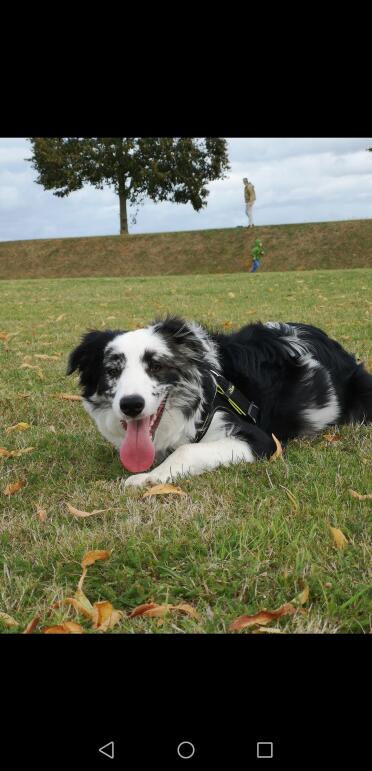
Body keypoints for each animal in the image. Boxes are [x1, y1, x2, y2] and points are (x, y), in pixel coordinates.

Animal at [67, 316, 372, 488]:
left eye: (156, 366)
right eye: (112, 370)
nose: (131, 405)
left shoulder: (261, 439)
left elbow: (187, 450)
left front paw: (149, 477)